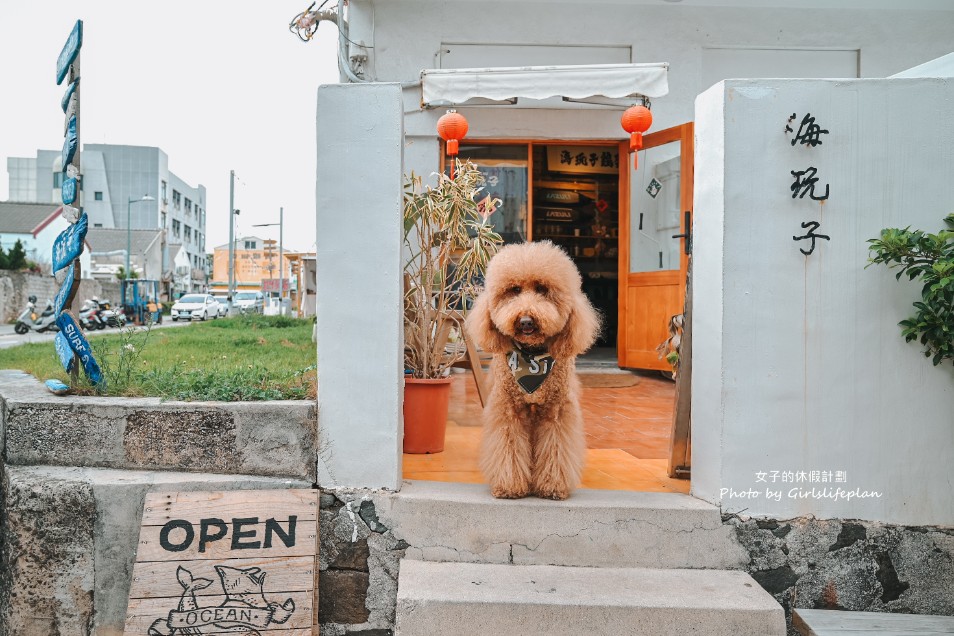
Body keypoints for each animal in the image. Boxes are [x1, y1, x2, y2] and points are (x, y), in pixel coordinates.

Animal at [466, 241, 600, 500]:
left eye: (542, 289)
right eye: (514, 290)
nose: (526, 320)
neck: (532, 356)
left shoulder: (556, 411)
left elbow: (556, 449)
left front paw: (552, 486)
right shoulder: (509, 410)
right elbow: (508, 447)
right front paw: (510, 486)